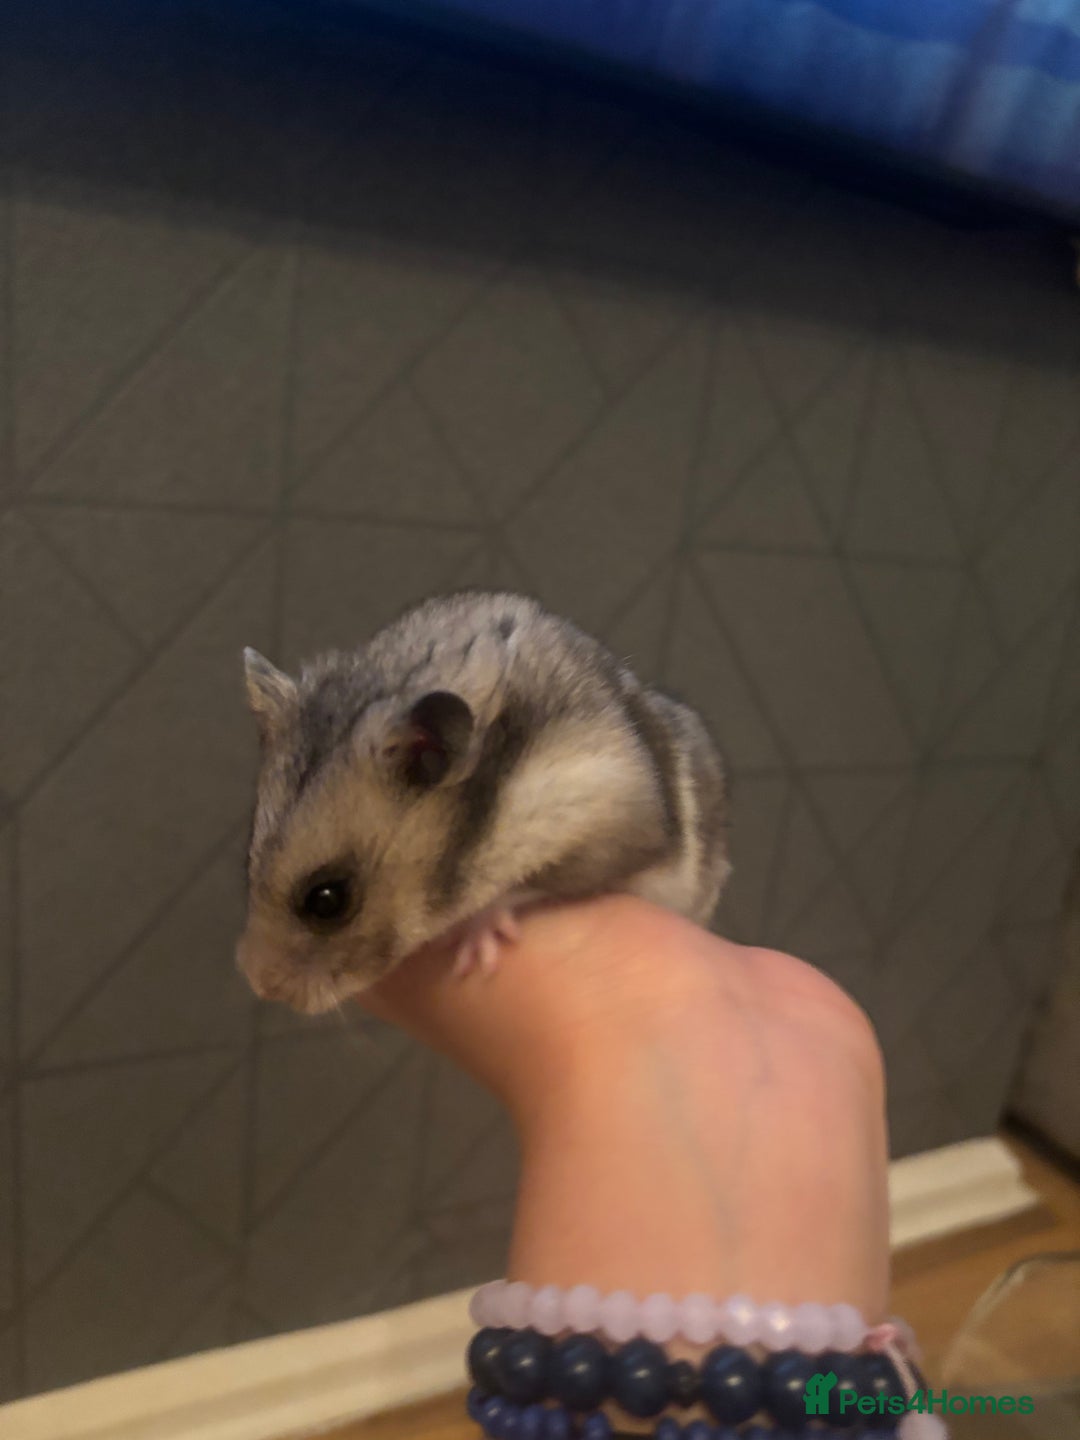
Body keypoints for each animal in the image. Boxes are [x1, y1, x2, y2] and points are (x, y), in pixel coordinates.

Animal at [236, 590, 731, 1014]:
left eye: (327, 900)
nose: (260, 986)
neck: (490, 800)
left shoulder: (606, 813)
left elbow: (529, 885)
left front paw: (476, 946)